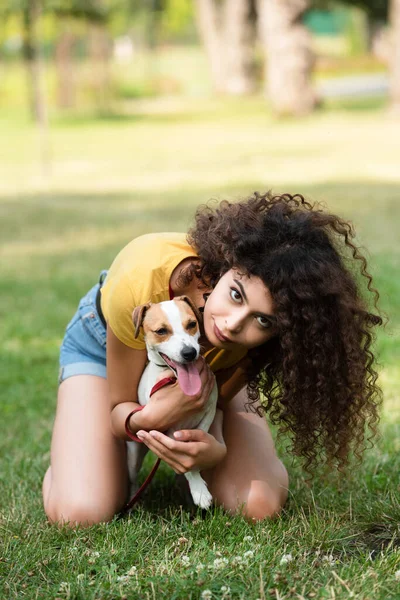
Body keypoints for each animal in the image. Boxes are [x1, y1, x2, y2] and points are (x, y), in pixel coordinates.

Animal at [126, 296, 217, 510]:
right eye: (161, 331)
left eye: (192, 324)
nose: (189, 352)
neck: (174, 379)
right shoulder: (163, 427)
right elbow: (187, 464)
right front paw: (199, 490)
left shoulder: (210, 410)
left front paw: (196, 486)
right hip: (133, 455)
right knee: (133, 480)